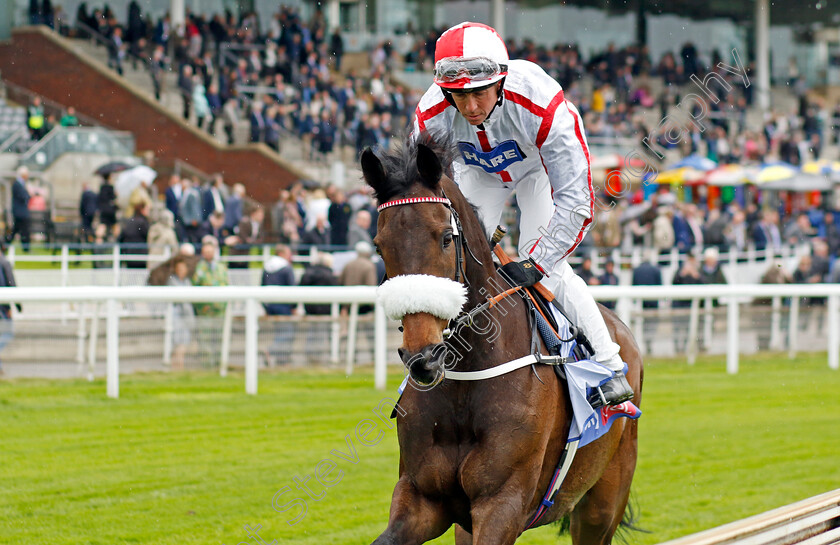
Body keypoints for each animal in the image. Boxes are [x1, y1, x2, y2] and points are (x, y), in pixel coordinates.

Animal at [360, 133, 644, 544]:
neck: (467, 377)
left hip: (602, 501)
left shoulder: (503, 502)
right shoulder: (422, 498)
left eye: (445, 238)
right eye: (380, 245)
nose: (423, 357)